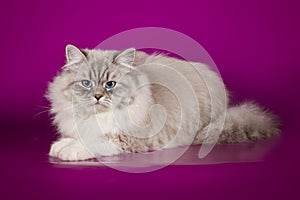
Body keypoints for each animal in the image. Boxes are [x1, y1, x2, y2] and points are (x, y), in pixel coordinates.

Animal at [46, 44, 278, 160]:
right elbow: (77, 136)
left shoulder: (127, 138)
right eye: (86, 83)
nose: (97, 96)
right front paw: (61, 145)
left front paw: (69, 151)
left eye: (110, 84)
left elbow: (94, 141)